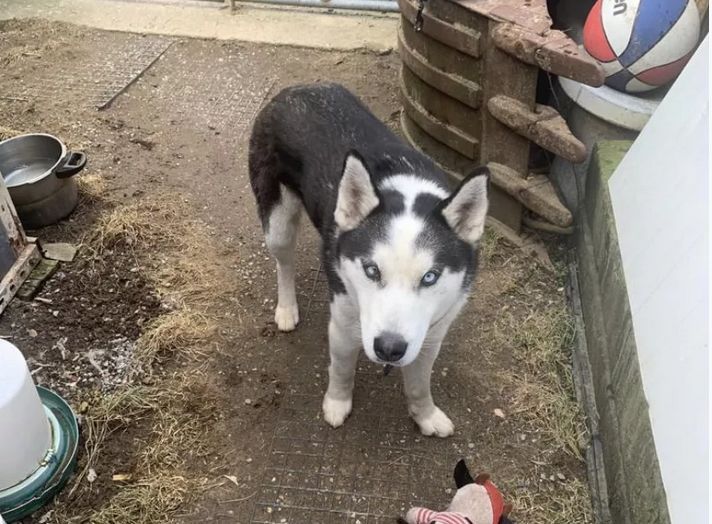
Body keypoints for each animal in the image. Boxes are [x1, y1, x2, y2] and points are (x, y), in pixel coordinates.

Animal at [248, 84, 486, 436]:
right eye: (371, 270)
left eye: (430, 277)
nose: (389, 348)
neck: (409, 194)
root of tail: (295, 89)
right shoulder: (345, 323)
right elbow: (342, 369)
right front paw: (337, 403)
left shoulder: (430, 333)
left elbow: (419, 385)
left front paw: (425, 415)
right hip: (277, 222)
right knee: (284, 262)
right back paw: (287, 308)